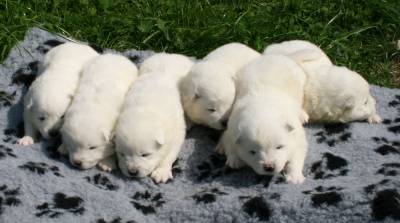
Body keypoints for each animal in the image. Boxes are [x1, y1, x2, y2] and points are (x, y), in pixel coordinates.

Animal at [114, 52, 194, 183]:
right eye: (122, 154)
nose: (133, 172)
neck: (145, 109)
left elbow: (171, 152)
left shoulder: (176, 130)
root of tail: (172, 55)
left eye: (145, 154)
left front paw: (161, 172)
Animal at [219, 55, 310, 184]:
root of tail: (277, 56)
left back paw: (302, 115)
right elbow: (229, 142)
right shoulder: (231, 129)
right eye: (252, 152)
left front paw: (294, 176)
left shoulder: (297, 137)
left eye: (279, 147)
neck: (262, 109)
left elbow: (296, 156)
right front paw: (234, 159)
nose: (269, 167)